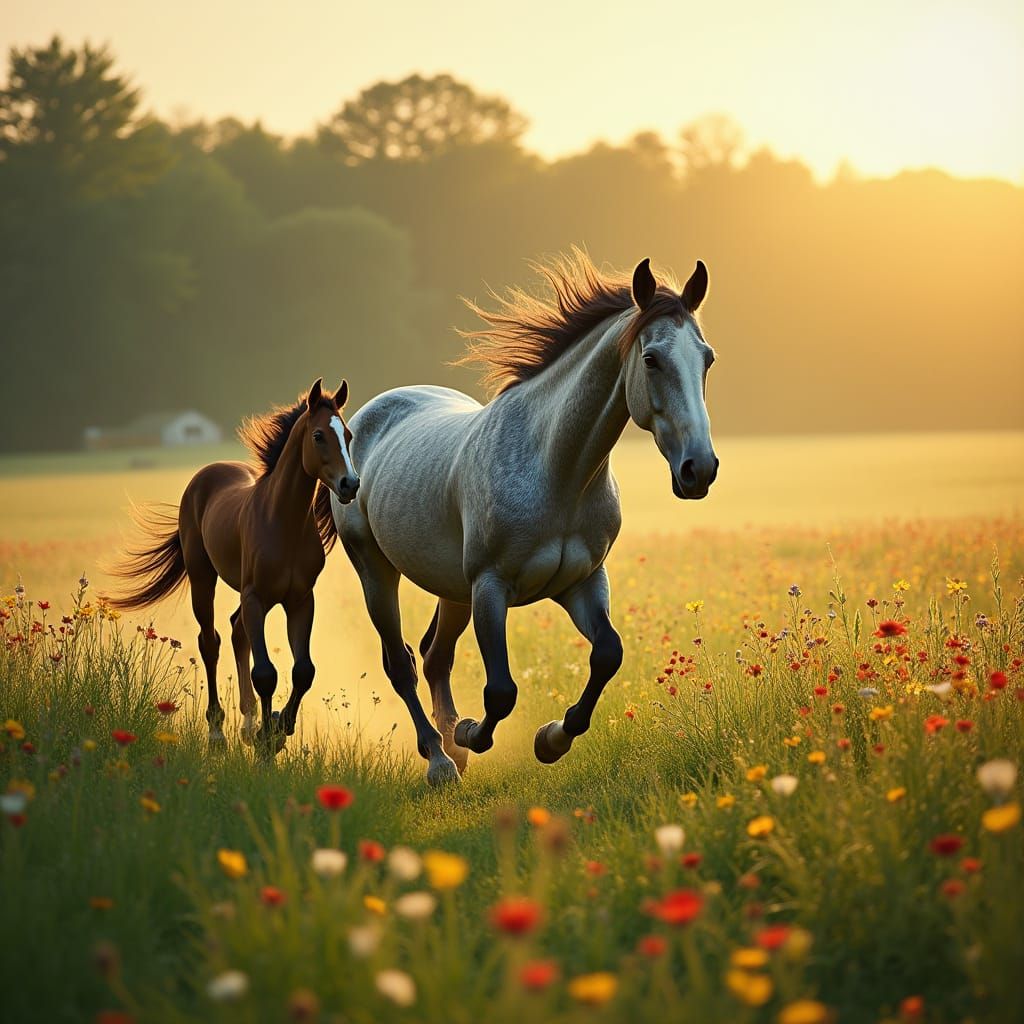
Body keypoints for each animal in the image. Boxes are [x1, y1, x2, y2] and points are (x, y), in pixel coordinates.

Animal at [108, 379, 359, 753]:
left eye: (348, 435)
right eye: (318, 435)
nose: (350, 484)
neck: (283, 522)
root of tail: (206, 474)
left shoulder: (300, 600)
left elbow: (303, 671)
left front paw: (278, 727)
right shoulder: (255, 597)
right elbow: (265, 673)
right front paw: (268, 740)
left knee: (237, 631)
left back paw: (248, 724)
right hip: (203, 578)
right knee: (210, 642)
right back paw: (218, 732)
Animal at [333, 251, 718, 786]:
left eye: (707, 358)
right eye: (651, 359)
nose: (699, 469)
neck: (557, 470)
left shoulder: (582, 583)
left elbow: (608, 654)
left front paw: (551, 739)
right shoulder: (491, 587)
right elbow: (501, 692)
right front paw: (472, 732)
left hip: (453, 590)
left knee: (434, 658)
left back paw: (452, 745)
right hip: (376, 570)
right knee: (402, 664)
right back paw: (441, 758)